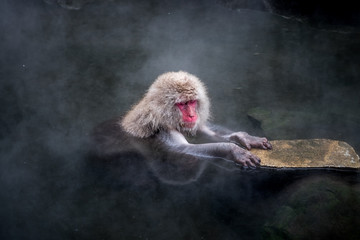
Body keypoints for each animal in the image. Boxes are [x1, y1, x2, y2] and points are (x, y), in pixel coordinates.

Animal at [91, 70, 272, 185]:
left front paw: (245, 137)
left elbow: (205, 130)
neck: (161, 114)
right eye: (183, 104)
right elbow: (183, 150)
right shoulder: (164, 131)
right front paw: (232, 150)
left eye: (192, 102)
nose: (192, 115)